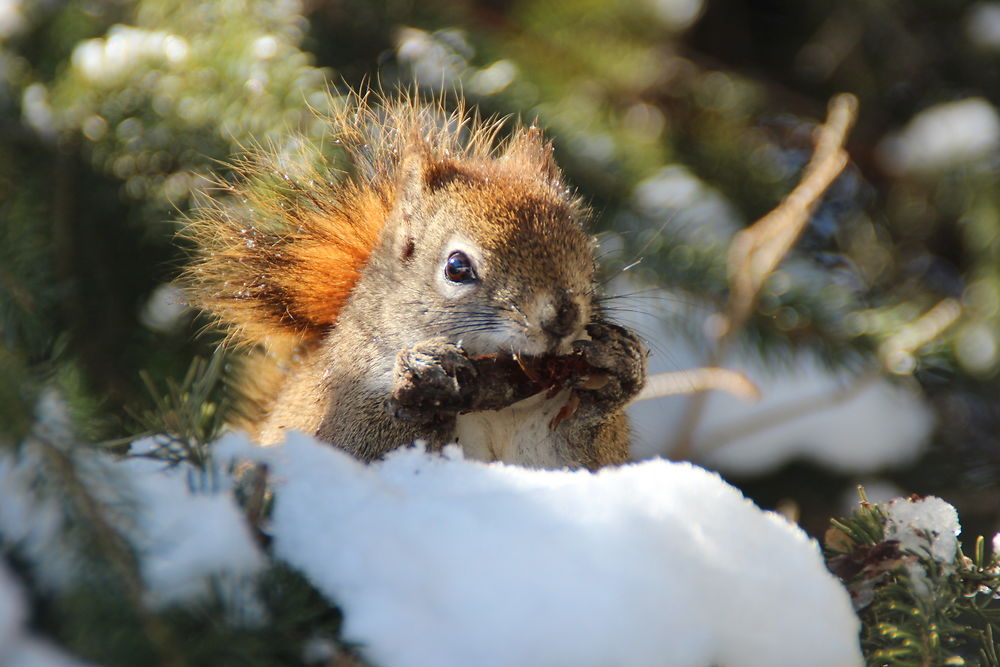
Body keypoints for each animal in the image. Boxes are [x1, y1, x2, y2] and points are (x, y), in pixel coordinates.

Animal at [182, 92, 648, 470]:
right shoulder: (343, 411)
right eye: (457, 267)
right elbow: (361, 446)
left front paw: (619, 368)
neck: (496, 405)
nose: (562, 319)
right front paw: (427, 375)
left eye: (586, 252)